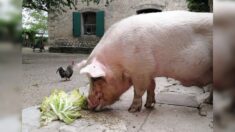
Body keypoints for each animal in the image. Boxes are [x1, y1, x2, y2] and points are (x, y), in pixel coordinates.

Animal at [76, 11, 213, 112]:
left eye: (95, 79)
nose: (87, 103)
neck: (118, 62)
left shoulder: (140, 71)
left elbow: (139, 90)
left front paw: (131, 110)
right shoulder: (148, 71)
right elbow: (152, 86)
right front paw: (149, 105)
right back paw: (208, 102)